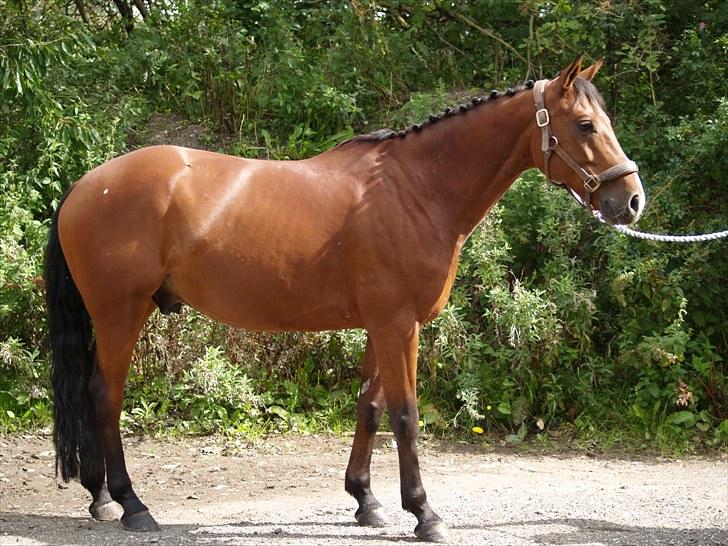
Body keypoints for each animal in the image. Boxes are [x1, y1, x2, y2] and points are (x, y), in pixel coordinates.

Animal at [44, 56, 644, 542]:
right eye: (585, 125)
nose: (632, 200)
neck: (415, 190)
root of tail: (83, 186)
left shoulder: (382, 325)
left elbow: (371, 407)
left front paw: (366, 500)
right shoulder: (399, 325)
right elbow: (405, 414)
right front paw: (424, 513)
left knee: (92, 392)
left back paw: (100, 497)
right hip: (121, 315)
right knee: (105, 395)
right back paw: (131, 504)